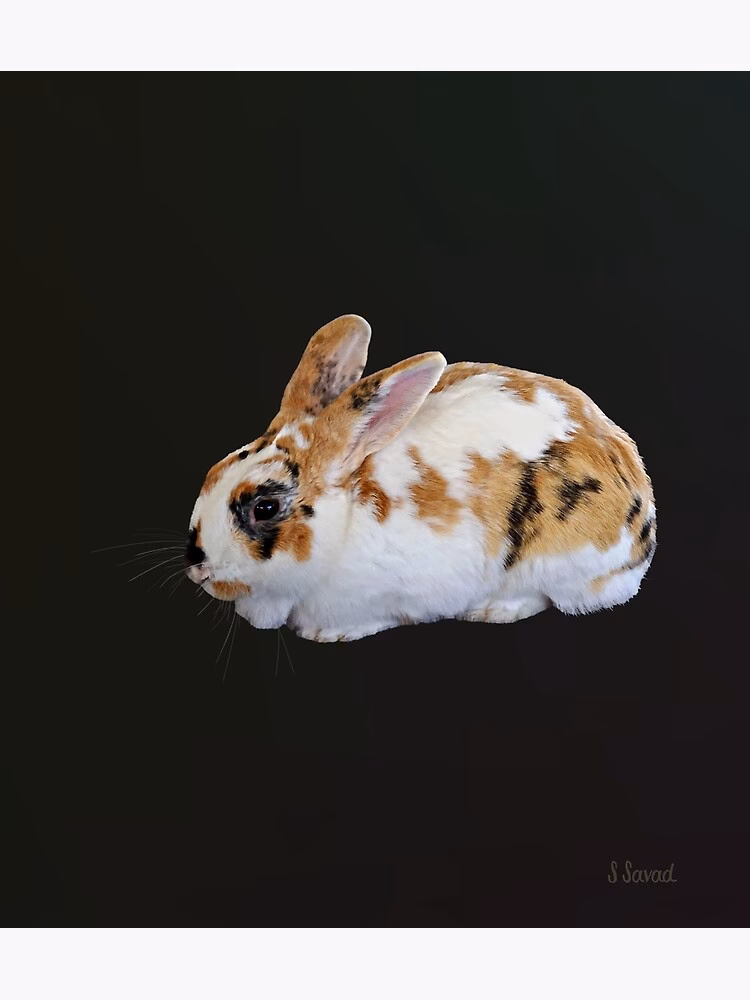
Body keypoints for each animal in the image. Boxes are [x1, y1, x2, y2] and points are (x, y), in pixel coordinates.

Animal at [185, 314, 655, 642]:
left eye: (264, 507)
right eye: (212, 472)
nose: (197, 567)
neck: (347, 520)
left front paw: (329, 634)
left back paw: (493, 609)